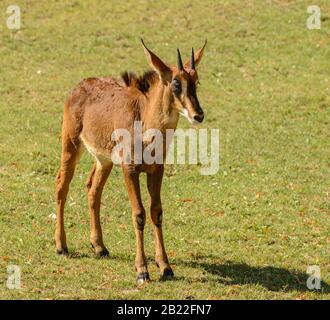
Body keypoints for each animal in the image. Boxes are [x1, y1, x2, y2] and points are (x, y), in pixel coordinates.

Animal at [55, 40, 208, 284]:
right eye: (176, 83)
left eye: (196, 81)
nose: (198, 115)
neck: (145, 121)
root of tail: (80, 86)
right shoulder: (130, 170)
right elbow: (139, 214)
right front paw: (142, 271)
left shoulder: (156, 170)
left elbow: (156, 211)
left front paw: (165, 267)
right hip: (70, 143)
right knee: (62, 184)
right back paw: (61, 246)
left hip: (104, 160)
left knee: (93, 189)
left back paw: (99, 247)